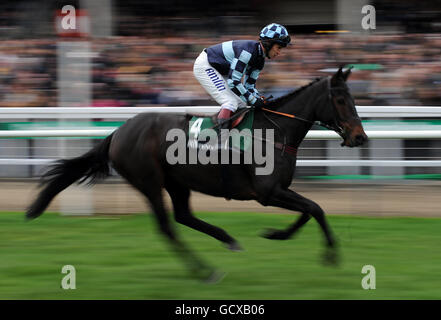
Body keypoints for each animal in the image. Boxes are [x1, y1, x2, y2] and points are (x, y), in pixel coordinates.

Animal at [25, 67, 366, 280]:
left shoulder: (277, 191)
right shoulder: (267, 193)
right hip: (149, 182)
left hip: (177, 182)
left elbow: (309, 211)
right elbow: (316, 208)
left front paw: (276, 234)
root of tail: (118, 131)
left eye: (354, 98)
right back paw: (206, 271)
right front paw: (330, 254)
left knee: (183, 216)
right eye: (340, 100)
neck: (273, 132)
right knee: (167, 227)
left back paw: (227, 239)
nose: (360, 137)